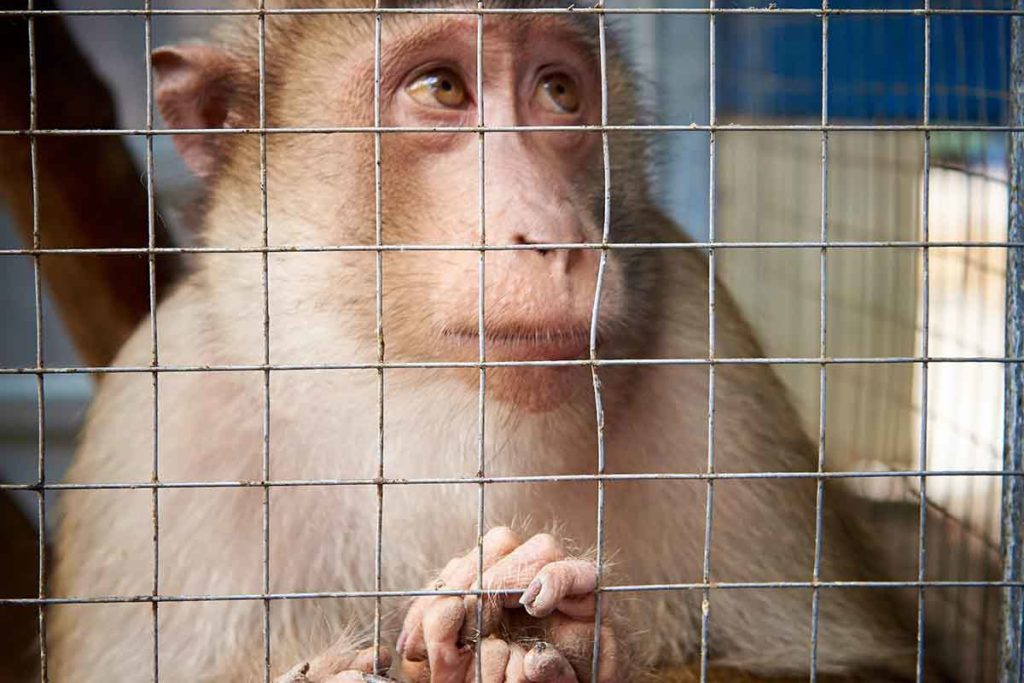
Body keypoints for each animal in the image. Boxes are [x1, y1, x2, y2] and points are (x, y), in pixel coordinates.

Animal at [46, 1, 939, 681]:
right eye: (442, 87)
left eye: (559, 92)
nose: (556, 236)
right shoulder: (157, 424)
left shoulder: (709, 356)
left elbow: (862, 666)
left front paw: (572, 638)